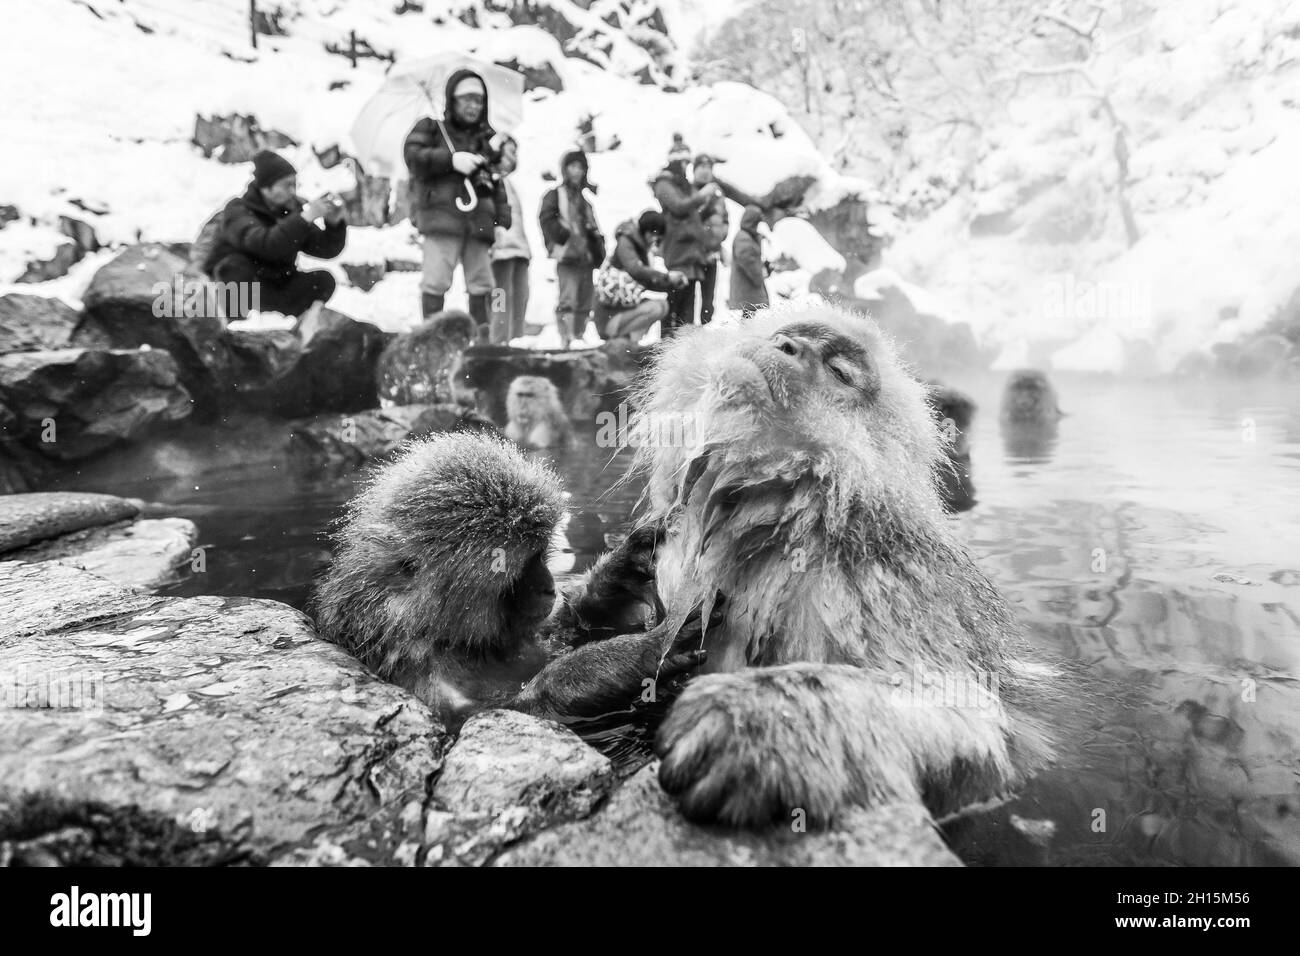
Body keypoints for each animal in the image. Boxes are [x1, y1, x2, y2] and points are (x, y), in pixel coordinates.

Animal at [314, 429, 722, 728]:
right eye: (524, 565)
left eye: (540, 553)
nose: (548, 586)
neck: (454, 639)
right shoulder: (415, 666)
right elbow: (493, 716)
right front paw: (634, 656)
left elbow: (567, 622)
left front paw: (624, 567)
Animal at [631, 306, 1055, 832]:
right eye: (787, 337)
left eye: (837, 372)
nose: (785, 347)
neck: (790, 515)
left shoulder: (882, 584)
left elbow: (976, 725)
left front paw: (761, 718)